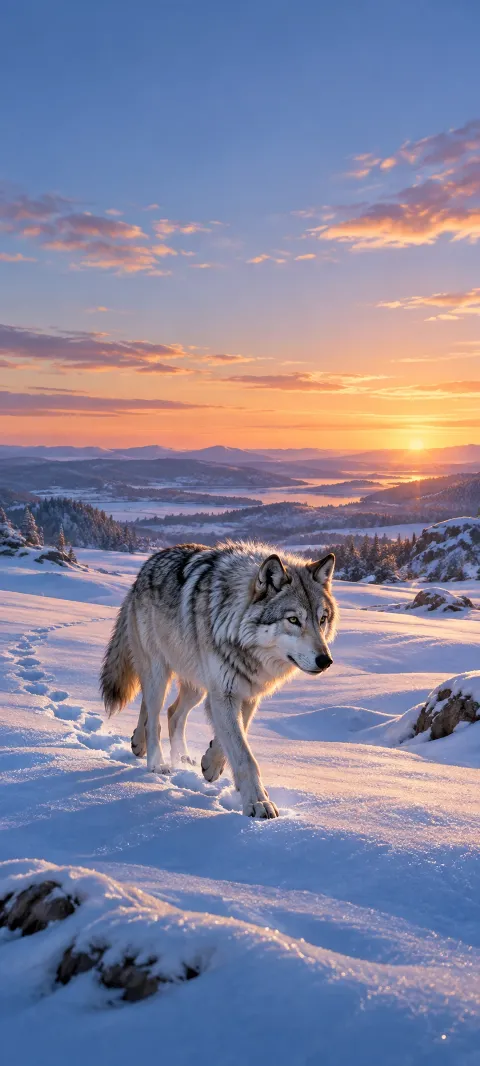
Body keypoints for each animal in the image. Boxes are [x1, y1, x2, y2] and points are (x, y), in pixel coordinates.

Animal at [101, 541, 337, 819]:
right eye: (293, 620)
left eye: (322, 620)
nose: (325, 661)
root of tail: (145, 568)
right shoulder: (223, 693)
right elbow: (245, 756)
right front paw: (259, 803)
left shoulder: (246, 694)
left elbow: (233, 739)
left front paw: (211, 765)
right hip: (159, 672)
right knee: (153, 714)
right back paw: (156, 763)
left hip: (195, 686)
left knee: (170, 713)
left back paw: (175, 756)